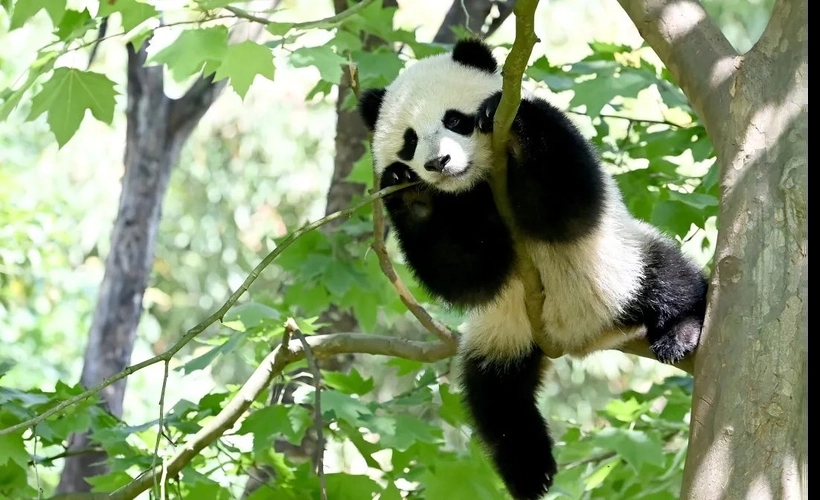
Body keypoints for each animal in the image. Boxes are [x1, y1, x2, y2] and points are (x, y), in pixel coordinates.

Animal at [356, 39, 708, 500]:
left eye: (455, 119)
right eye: (409, 141)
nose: (438, 163)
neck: (477, 185)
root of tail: (580, 337)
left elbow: (564, 203)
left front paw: (505, 114)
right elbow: (467, 276)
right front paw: (410, 193)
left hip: (619, 264)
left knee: (670, 279)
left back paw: (680, 331)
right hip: (503, 335)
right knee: (498, 401)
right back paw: (530, 471)